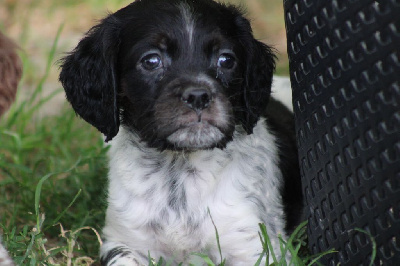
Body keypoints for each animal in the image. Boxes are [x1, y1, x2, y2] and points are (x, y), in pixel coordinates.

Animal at [59, 0, 304, 264]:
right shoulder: (125, 241)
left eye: (226, 60)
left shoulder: (256, 247)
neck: (179, 171)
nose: (198, 96)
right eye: (151, 61)